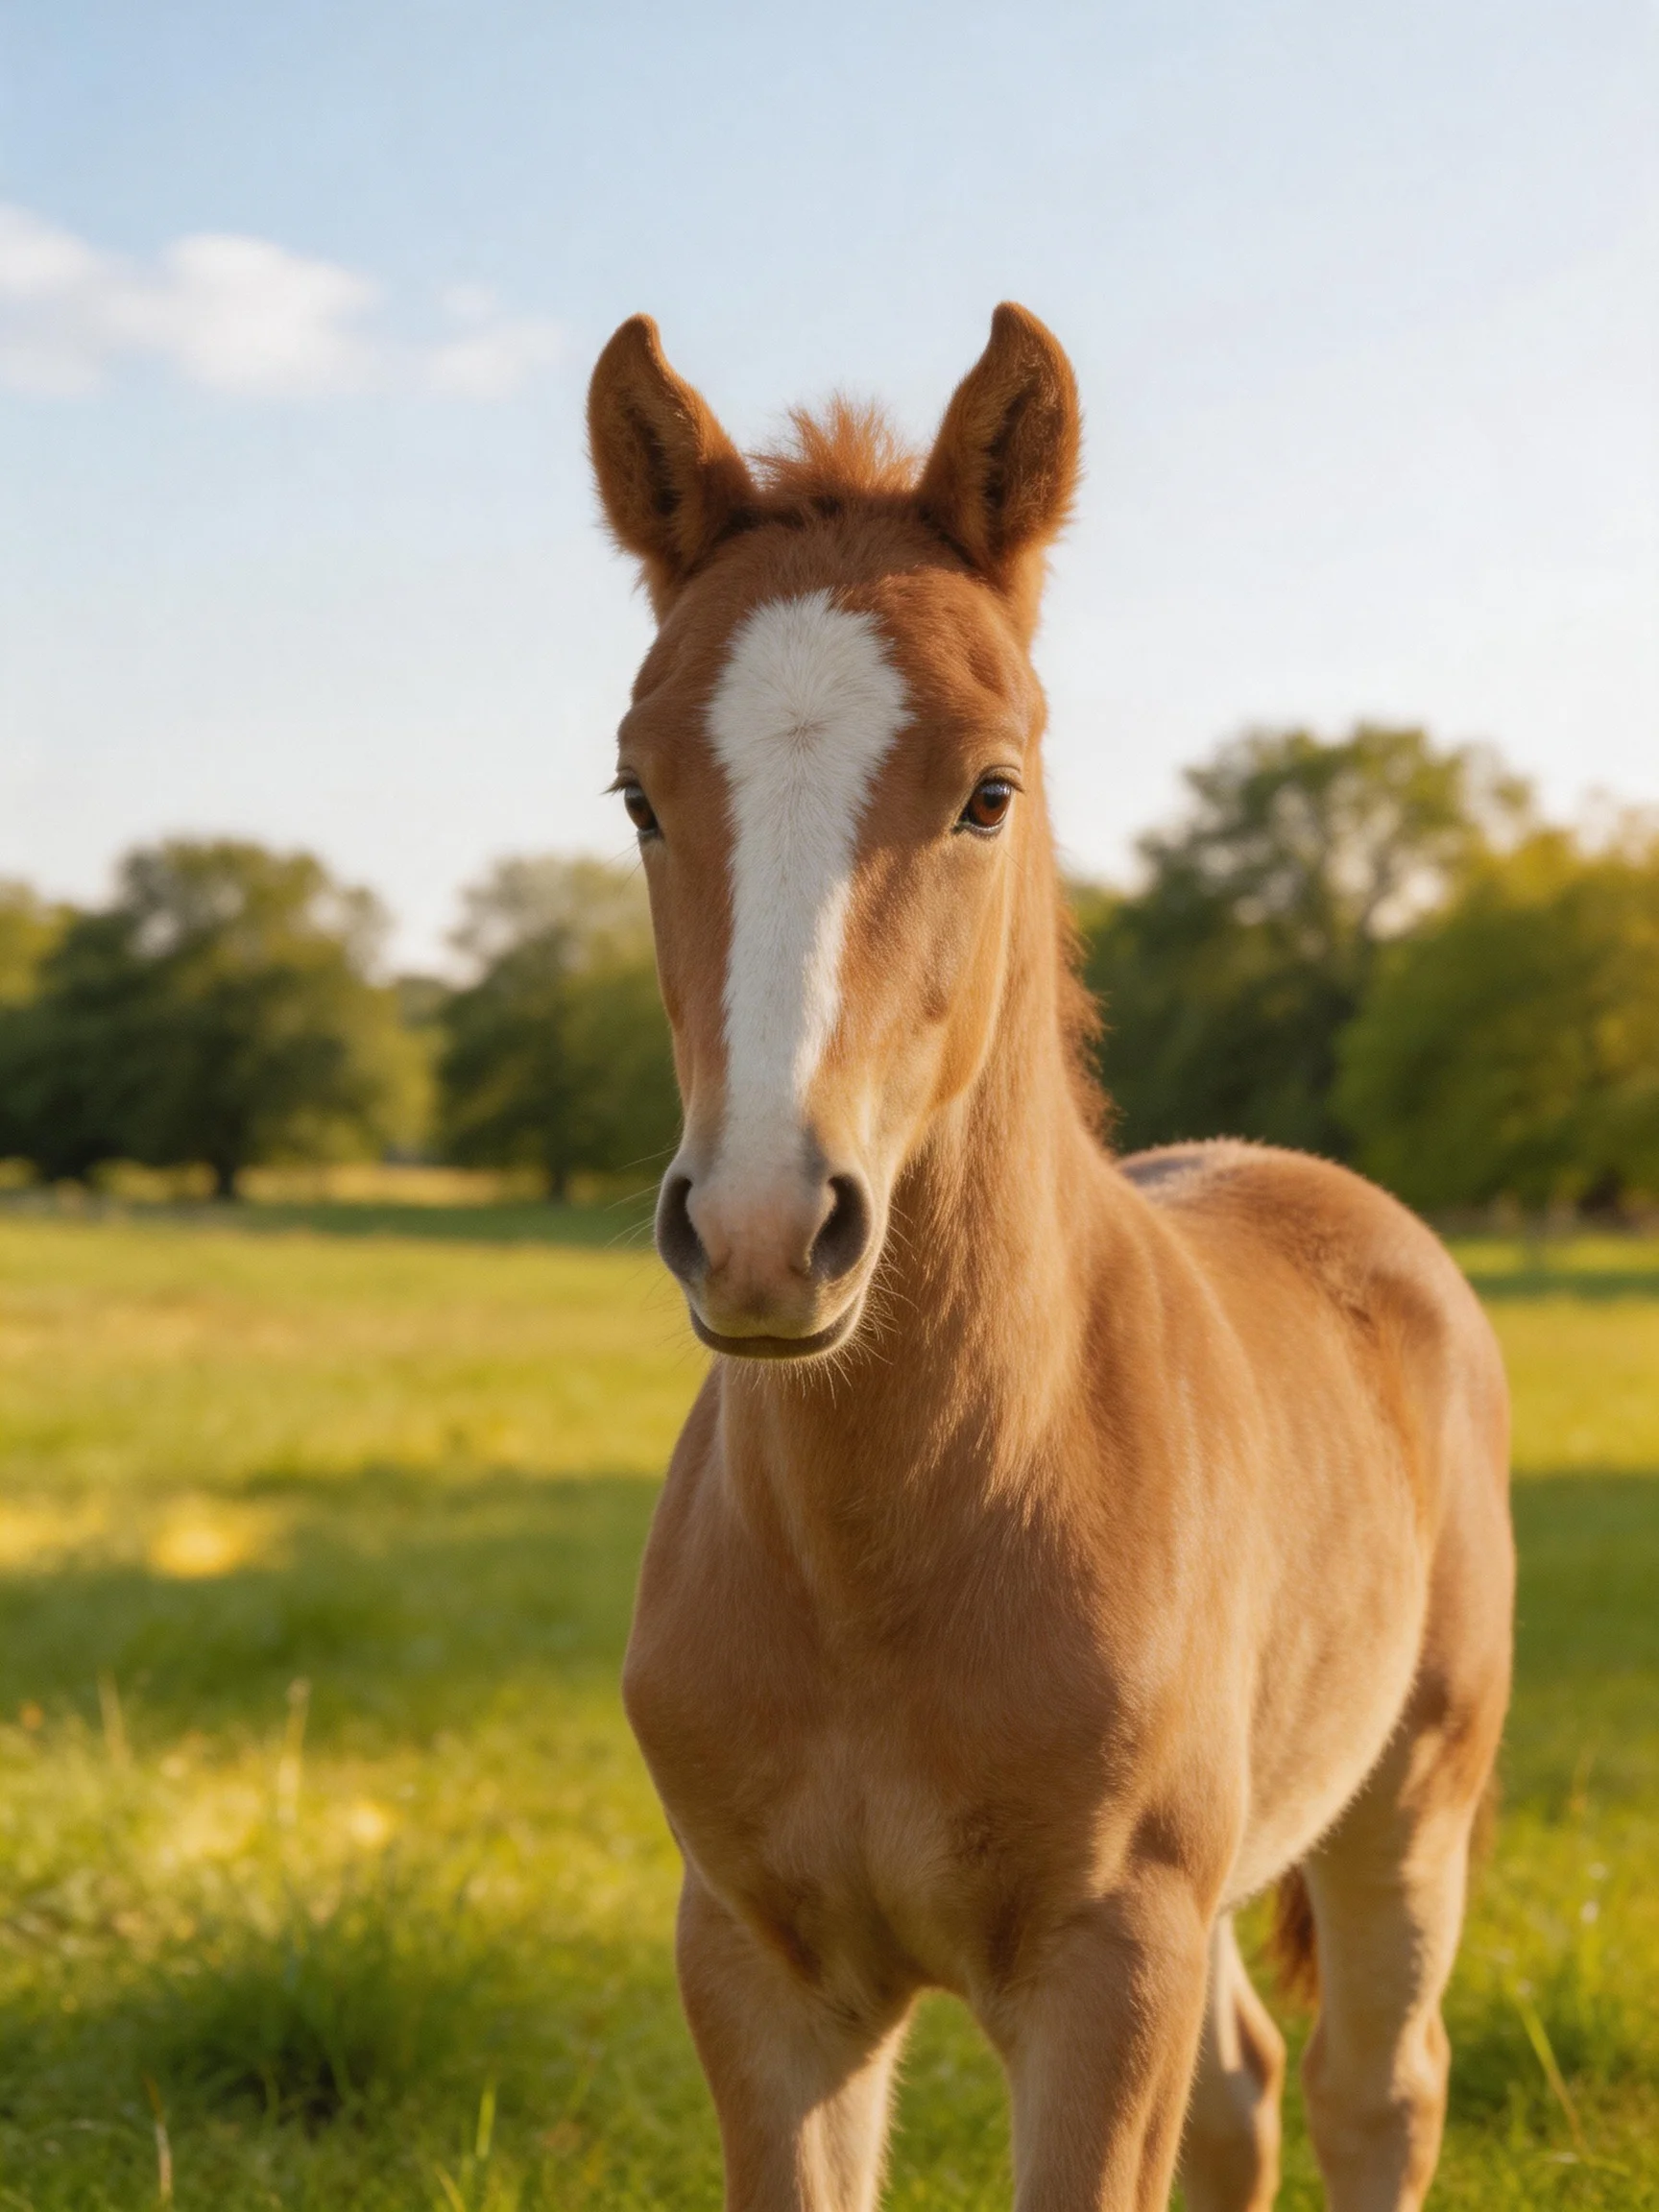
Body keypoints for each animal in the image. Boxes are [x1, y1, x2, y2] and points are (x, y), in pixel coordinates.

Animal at [586, 303, 1513, 2212]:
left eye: (987, 792)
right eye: (637, 790)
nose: (765, 1229)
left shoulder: (1107, 1963)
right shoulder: (759, 1969)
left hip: (1412, 1799)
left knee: (1373, 2090)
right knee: (1244, 2092)